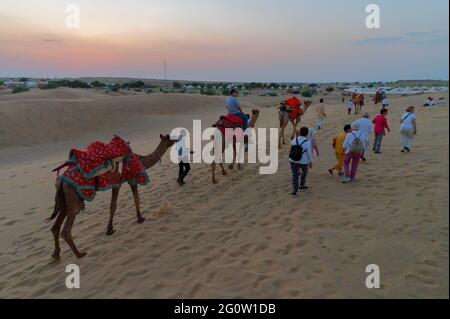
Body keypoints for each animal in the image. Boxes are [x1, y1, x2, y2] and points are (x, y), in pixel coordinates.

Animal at [48, 134, 175, 262]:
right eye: (169, 138)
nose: (176, 140)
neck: (141, 160)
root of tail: (62, 181)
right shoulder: (127, 179)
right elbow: (130, 200)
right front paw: (140, 218)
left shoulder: (117, 183)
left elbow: (113, 206)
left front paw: (109, 229)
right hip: (73, 198)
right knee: (66, 229)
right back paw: (79, 254)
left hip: (64, 201)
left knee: (55, 227)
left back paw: (56, 254)